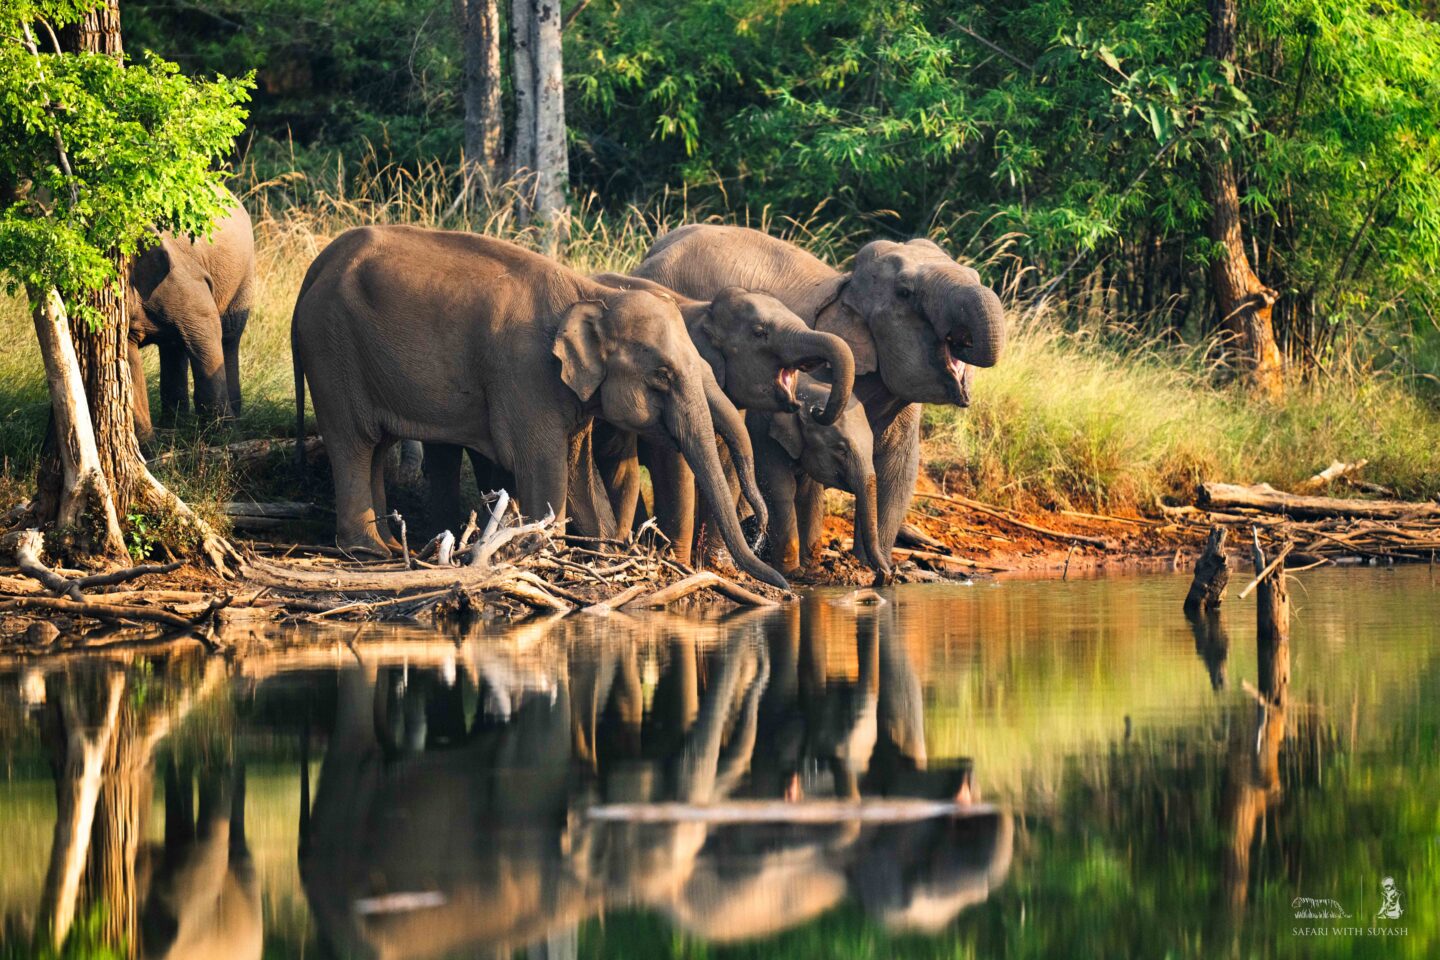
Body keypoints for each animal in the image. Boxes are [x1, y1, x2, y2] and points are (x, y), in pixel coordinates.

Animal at [290, 224, 789, 590]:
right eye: (662, 376)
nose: (783, 585)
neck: (590, 294)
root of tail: (315, 267)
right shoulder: (524, 374)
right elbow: (542, 465)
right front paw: (547, 553)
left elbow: (578, 470)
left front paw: (602, 554)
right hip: (331, 349)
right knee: (353, 441)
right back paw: (369, 552)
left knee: (375, 445)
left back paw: (390, 549)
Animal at [754, 377, 887, 581]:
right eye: (840, 449)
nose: (886, 574)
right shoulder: (764, 435)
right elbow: (781, 489)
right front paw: (793, 573)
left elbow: (809, 495)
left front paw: (811, 571)